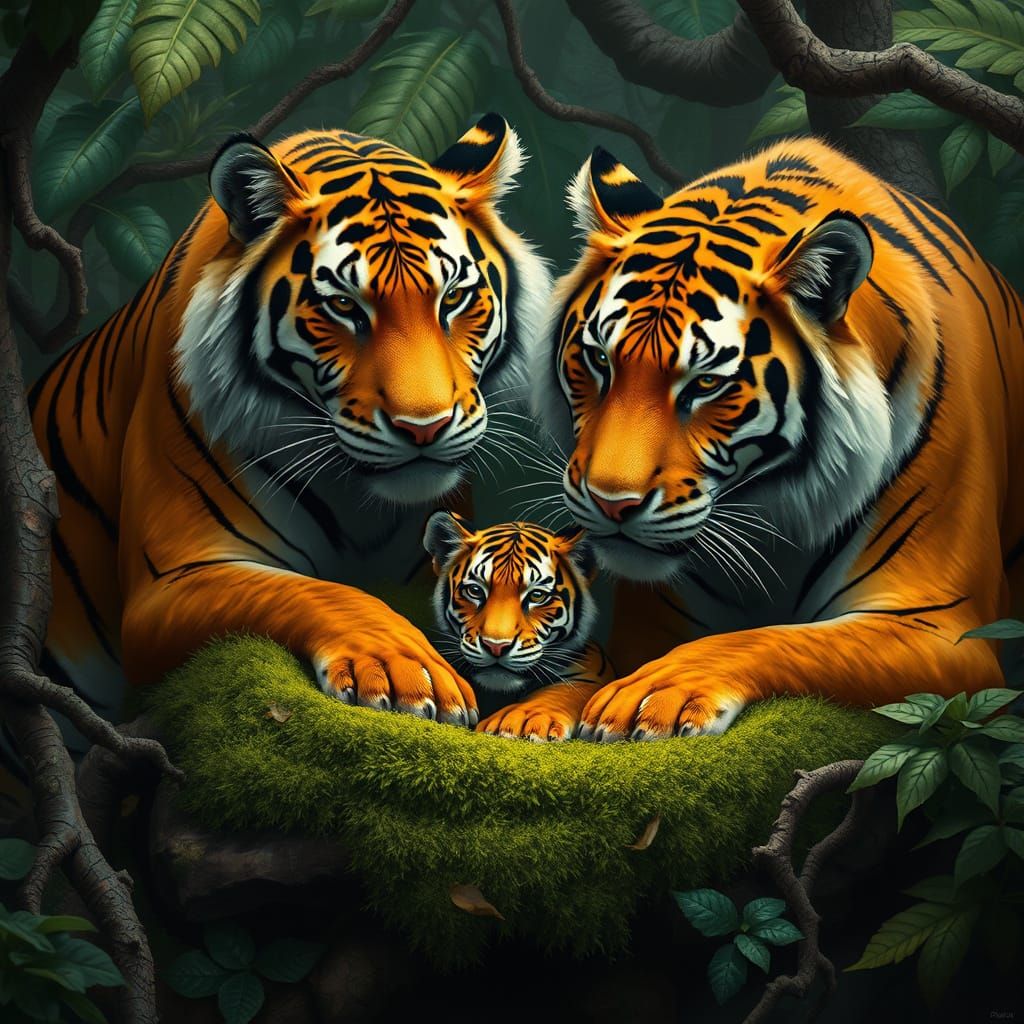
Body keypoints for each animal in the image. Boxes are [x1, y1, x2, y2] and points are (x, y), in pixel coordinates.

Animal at [26, 114, 552, 745]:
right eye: (344, 307)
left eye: (454, 298)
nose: (424, 427)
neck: (360, 501)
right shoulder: (170, 581)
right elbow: (310, 589)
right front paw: (407, 674)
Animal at [422, 512, 614, 740]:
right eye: (475, 591)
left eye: (537, 596)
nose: (496, 646)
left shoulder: (590, 671)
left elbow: (561, 692)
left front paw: (521, 721)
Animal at [511, 135, 1024, 743]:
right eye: (598, 361)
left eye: (706, 383)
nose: (612, 504)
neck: (775, 515)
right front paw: (531, 712)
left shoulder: (941, 626)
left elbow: (777, 639)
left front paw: (649, 695)